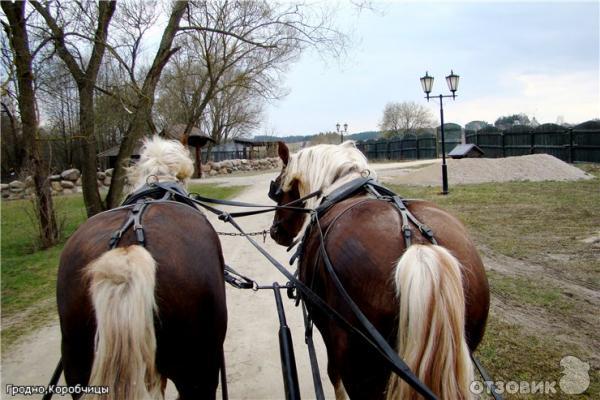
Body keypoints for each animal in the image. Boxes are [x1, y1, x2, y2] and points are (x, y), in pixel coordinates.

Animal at [270, 142, 490, 398]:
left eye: (277, 189)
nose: (275, 231)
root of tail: (419, 247)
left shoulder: (324, 325)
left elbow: (332, 374)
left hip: (359, 369)